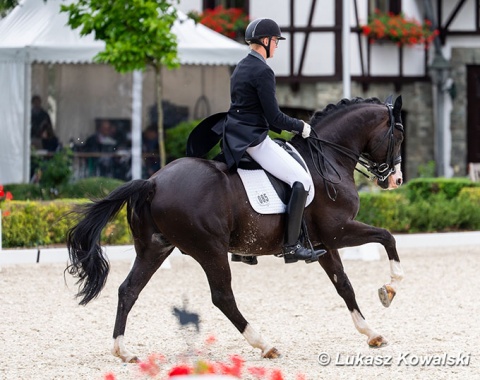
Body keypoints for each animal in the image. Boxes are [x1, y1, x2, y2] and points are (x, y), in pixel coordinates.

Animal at [65, 95, 404, 362]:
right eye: (399, 135)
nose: (396, 180)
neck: (327, 159)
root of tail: (153, 182)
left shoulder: (325, 243)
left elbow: (343, 284)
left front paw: (372, 332)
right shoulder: (339, 230)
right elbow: (387, 237)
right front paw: (391, 288)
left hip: (155, 248)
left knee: (129, 290)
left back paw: (122, 350)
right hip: (210, 249)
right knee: (222, 297)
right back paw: (265, 345)